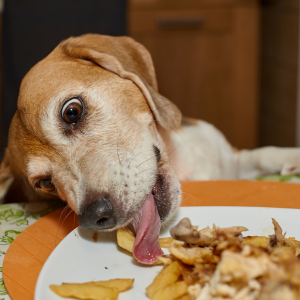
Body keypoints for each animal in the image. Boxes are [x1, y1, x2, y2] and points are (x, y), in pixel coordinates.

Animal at [0, 33, 300, 262]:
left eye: (72, 112)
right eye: (45, 183)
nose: (94, 216)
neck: (182, 164)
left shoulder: (231, 160)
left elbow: (266, 154)